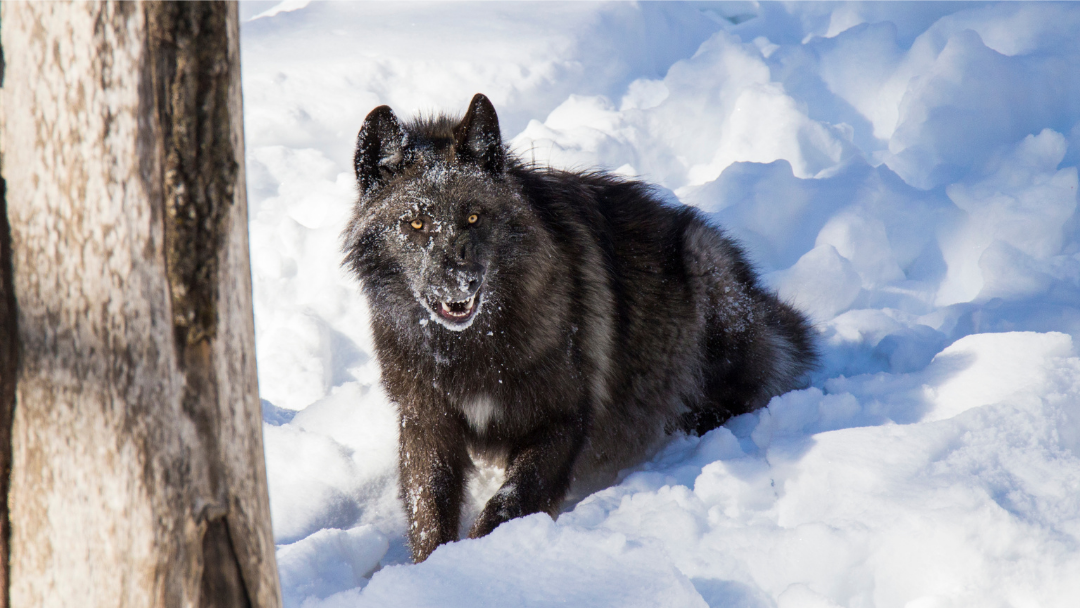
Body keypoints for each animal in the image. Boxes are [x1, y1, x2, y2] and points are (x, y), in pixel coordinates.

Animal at [342, 94, 816, 562]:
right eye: (415, 223)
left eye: (474, 217)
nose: (461, 282)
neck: (472, 345)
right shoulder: (427, 424)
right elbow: (430, 509)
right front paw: (432, 567)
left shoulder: (561, 419)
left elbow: (508, 502)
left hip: (704, 271)